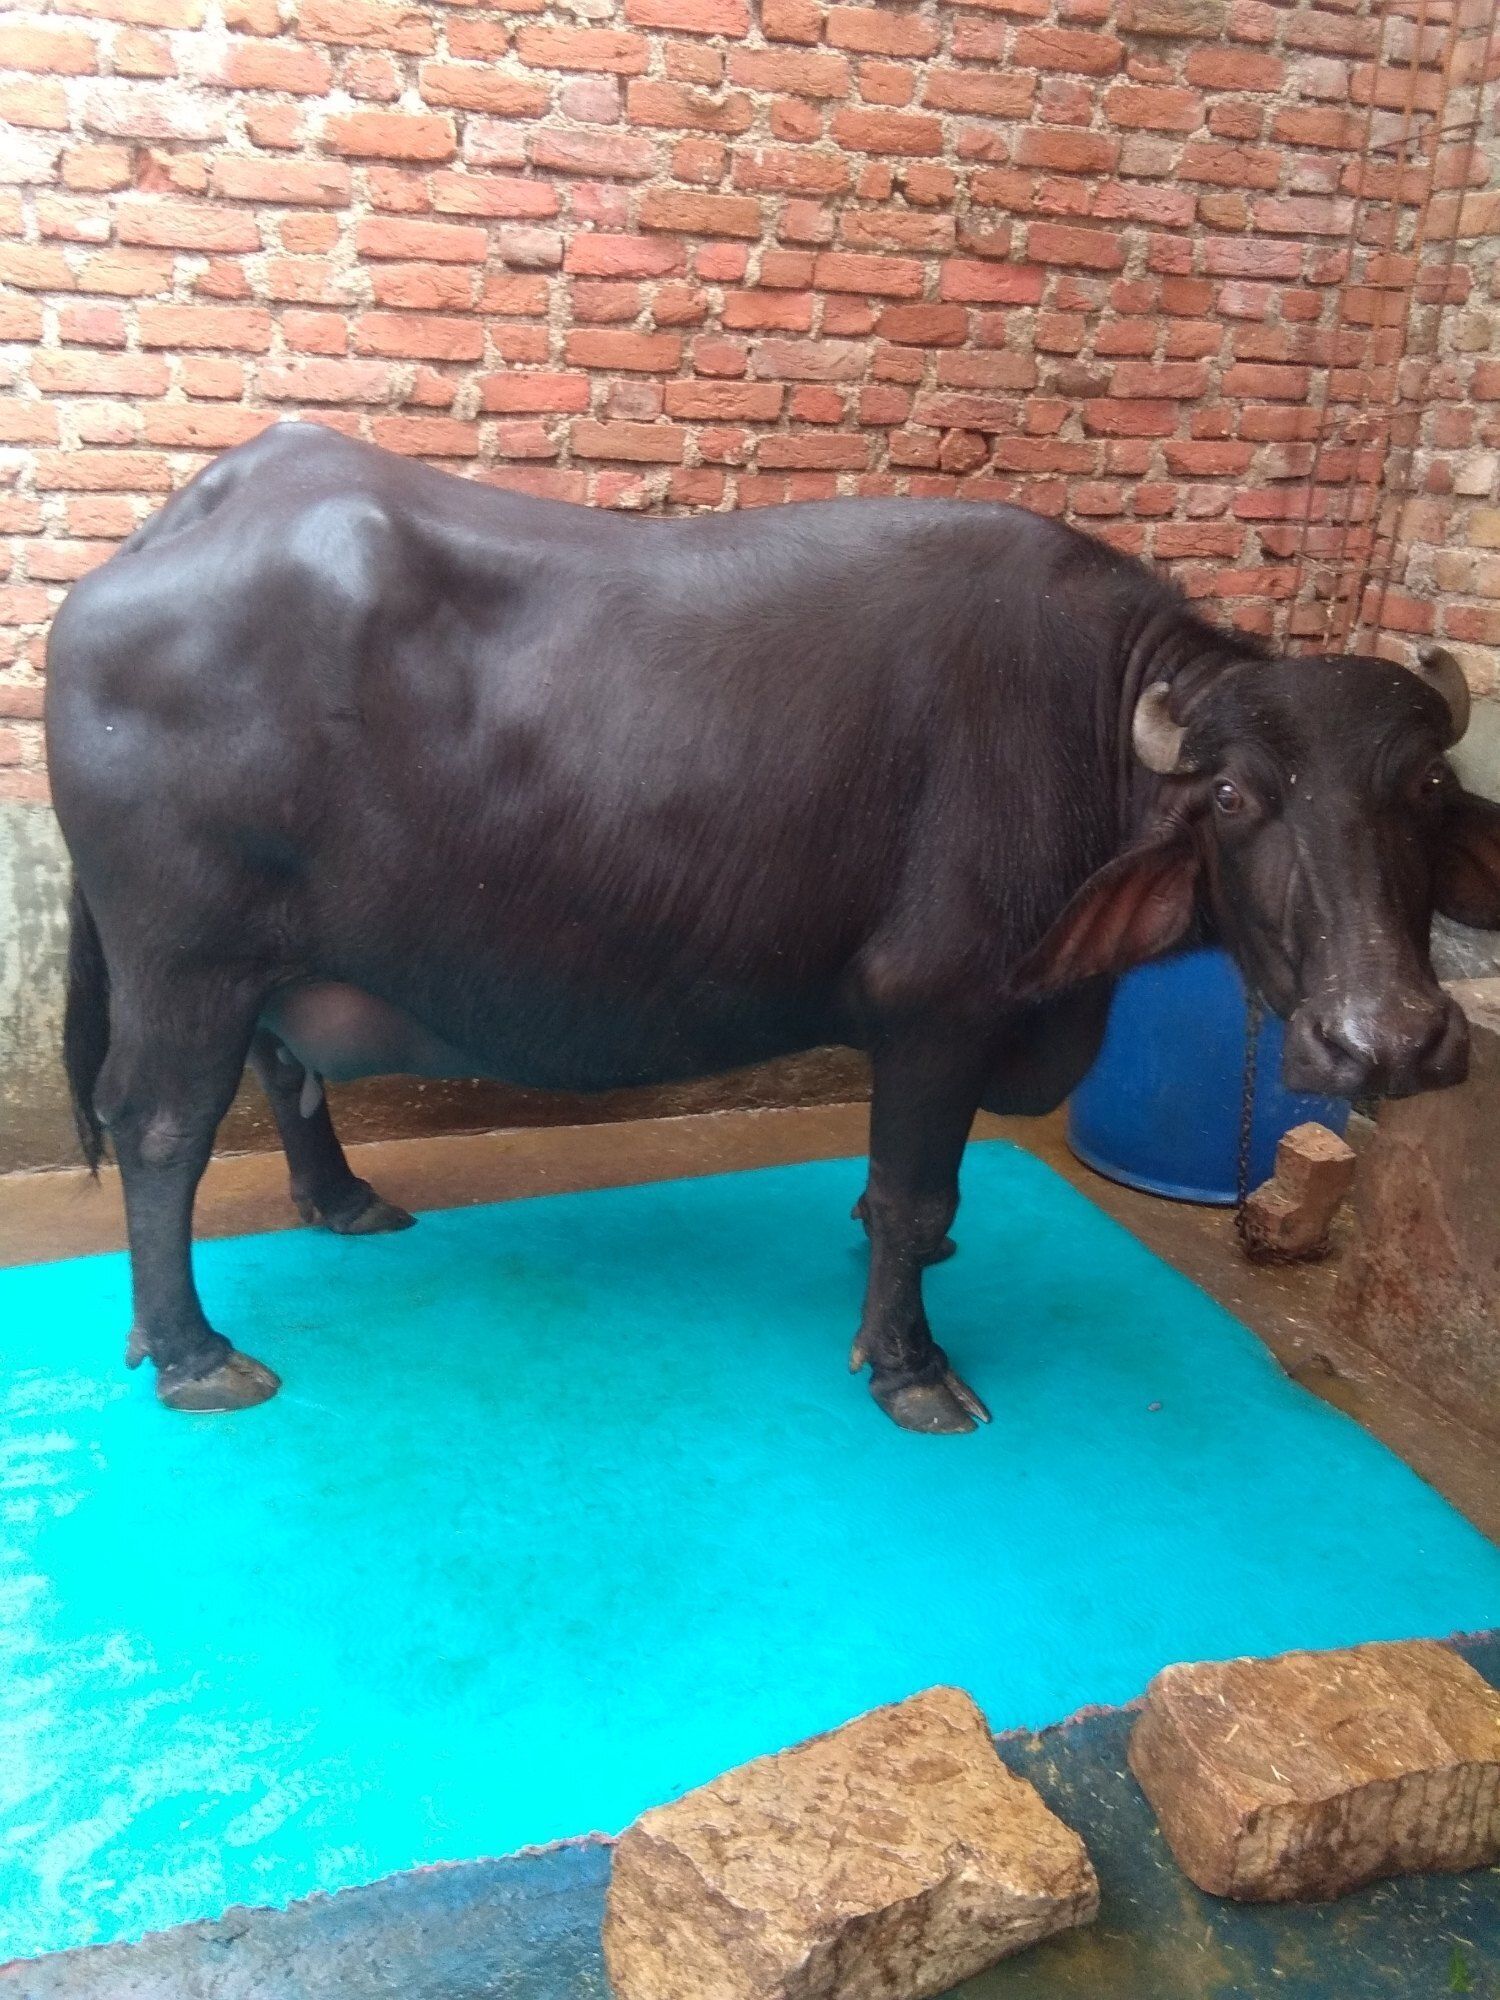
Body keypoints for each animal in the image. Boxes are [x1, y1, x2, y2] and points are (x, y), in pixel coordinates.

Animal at [44, 422, 1500, 1433]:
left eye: (1427, 792)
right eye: (1243, 798)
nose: (1386, 1036)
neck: (1090, 728)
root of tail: (155, 543)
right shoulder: (937, 1006)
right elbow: (916, 1192)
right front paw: (912, 1366)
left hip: (265, 959)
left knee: (283, 1069)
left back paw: (343, 1202)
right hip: (185, 961)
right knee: (161, 1131)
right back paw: (196, 1355)